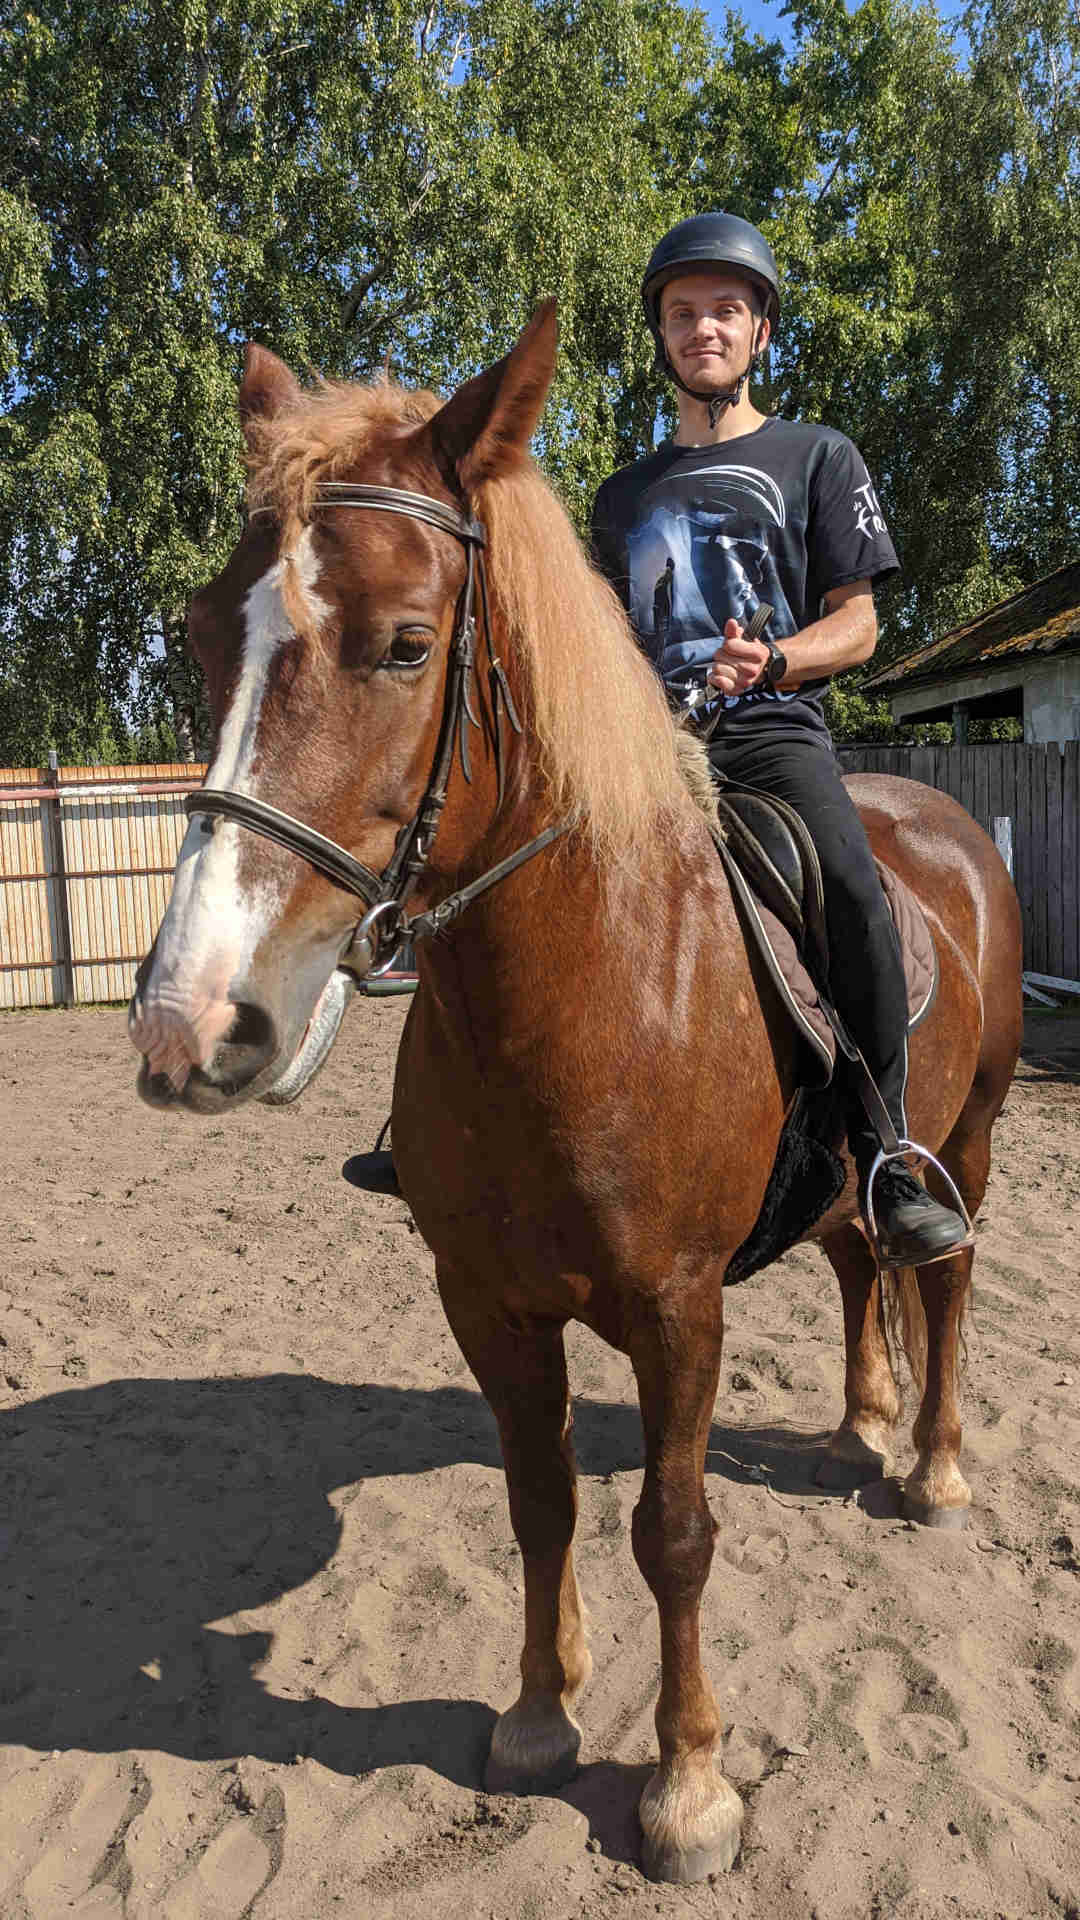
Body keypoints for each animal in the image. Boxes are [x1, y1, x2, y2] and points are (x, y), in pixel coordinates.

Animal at [128, 303, 1023, 1885]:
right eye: (201, 637)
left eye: (406, 644)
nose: (192, 1023)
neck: (590, 995)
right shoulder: (487, 1301)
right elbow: (538, 1502)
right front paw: (543, 1713)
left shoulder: (679, 1308)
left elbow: (673, 1530)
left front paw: (688, 1785)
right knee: (861, 1259)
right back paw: (860, 1423)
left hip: (965, 1137)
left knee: (944, 1275)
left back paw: (929, 1469)